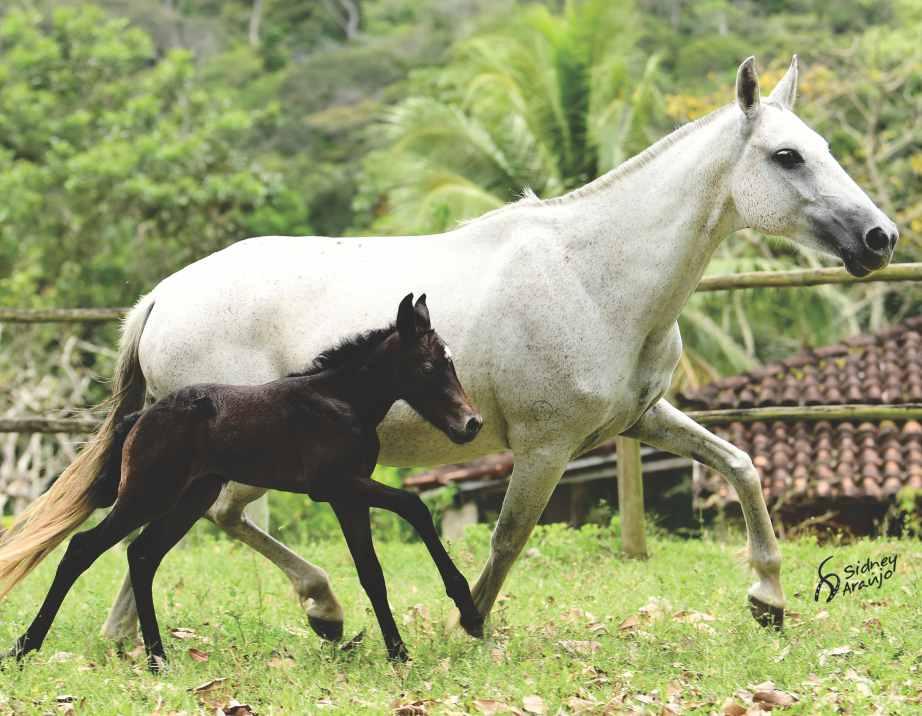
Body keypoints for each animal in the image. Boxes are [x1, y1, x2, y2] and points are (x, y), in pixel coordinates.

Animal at [0, 294, 486, 668]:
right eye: (429, 366)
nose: (471, 424)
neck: (340, 400)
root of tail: (141, 418)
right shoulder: (335, 486)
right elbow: (414, 507)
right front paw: (468, 612)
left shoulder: (348, 496)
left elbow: (372, 572)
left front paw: (399, 652)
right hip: (147, 494)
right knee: (84, 549)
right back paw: (25, 648)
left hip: (190, 498)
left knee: (141, 555)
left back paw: (158, 660)